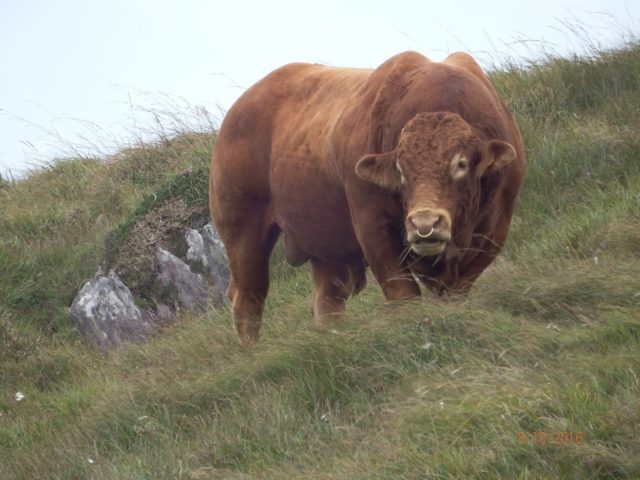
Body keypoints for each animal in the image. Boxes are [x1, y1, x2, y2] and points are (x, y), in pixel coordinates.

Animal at [209, 51, 525, 347]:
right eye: (400, 170)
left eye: (461, 164)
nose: (425, 224)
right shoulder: (372, 227)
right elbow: (403, 293)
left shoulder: (496, 228)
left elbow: (458, 289)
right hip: (242, 232)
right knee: (248, 298)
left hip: (325, 245)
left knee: (327, 302)